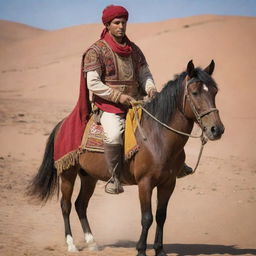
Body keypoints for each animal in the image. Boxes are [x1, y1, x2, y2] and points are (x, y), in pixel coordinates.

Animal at [27, 60, 224, 256]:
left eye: (214, 91)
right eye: (195, 93)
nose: (216, 129)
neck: (158, 138)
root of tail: (62, 124)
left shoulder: (168, 183)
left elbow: (161, 216)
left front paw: (160, 250)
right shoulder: (145, 183)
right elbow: (147, 218)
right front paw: (141, 250)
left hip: (89, 176)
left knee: (80, 204)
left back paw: (92, 243)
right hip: (68, 174)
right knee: (66, 205)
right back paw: (71, 244)